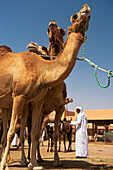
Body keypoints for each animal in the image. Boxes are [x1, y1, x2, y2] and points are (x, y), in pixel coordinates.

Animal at [0, 3, 90, 169]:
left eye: (90, 16)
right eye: (75, 16)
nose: (86, 7)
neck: (41, 70)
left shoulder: (37, 101)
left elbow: (35, 133)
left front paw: (34, 163)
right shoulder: (19, 96)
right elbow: (11, 132)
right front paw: (4, 165)